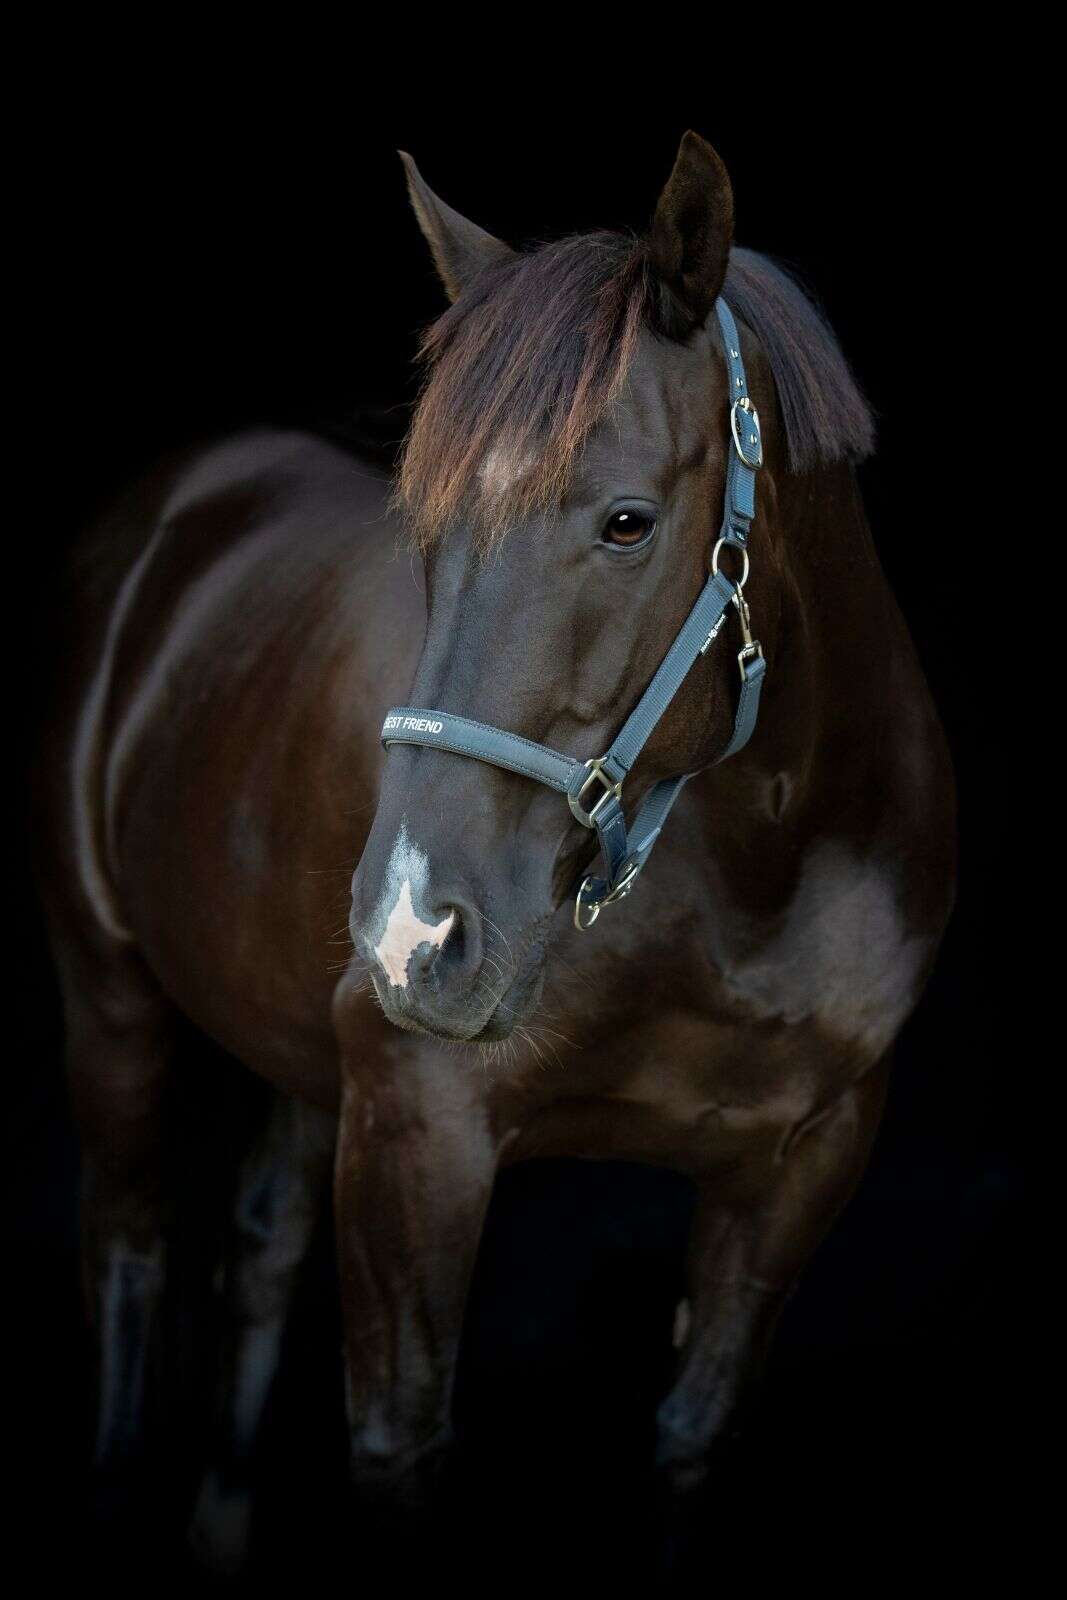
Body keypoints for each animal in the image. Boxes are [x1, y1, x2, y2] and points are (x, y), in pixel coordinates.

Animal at [34, 131, 955, 1570]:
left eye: (627, 521)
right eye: (422, 528)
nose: (414, 930)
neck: (755, 880)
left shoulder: (801, 1165)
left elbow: (691, 1433)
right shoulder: (420, 1130)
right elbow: (399, 1441)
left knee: (258, 1248)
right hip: (113, 995)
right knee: (130, 1255)